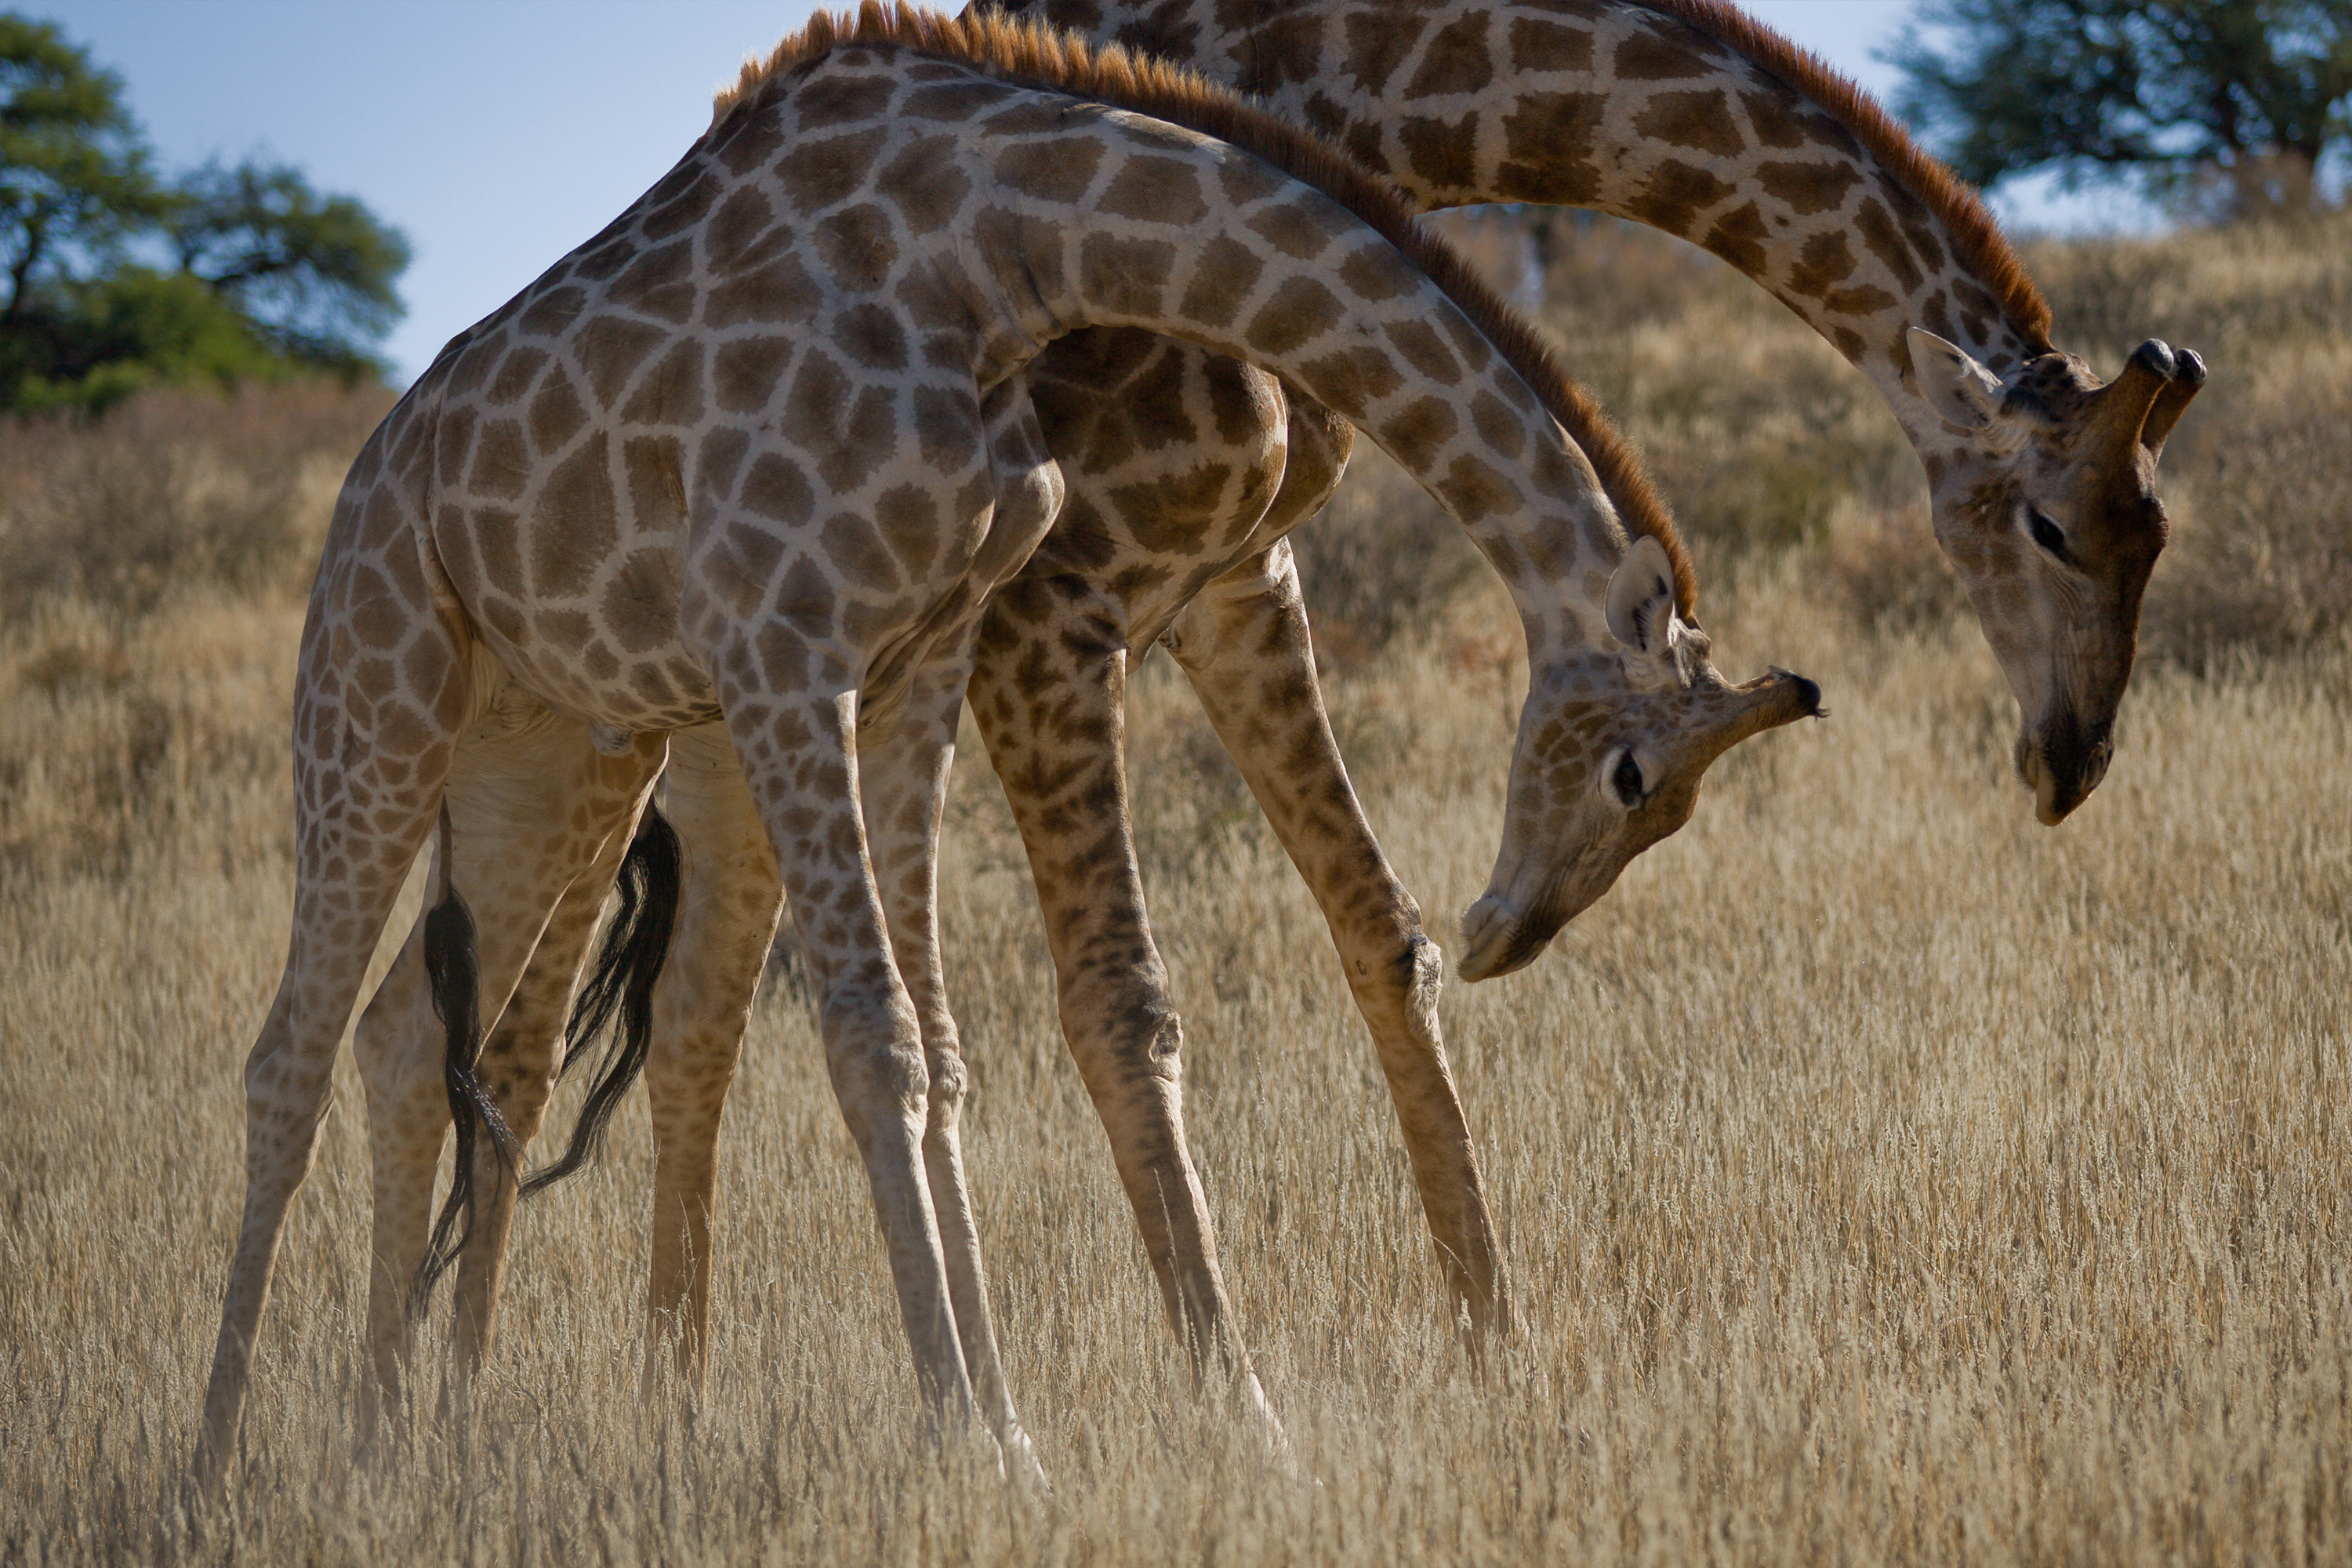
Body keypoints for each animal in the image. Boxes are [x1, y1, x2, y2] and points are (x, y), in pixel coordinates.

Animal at [195, 4, 1820, 1486]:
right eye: (1630, 779)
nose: (1508, 935)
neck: (995, 249)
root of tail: (362, 486)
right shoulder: (786, 653)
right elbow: (868, 1035)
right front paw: (979, 1440)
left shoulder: (917, 655)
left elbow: (940, 1045)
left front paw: (1007, 1431)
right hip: (379, 699)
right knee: (291, 1056)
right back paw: (216, 1460)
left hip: (526, 753)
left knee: (409, 1034)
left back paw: (382, 1445)